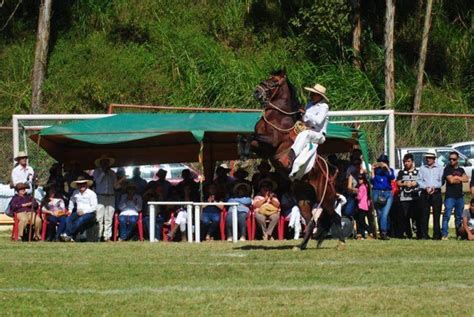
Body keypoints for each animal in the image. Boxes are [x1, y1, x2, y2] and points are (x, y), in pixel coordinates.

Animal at [250, 69, 346, 249]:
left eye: (274, 81)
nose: (257, 91)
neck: (278, 117)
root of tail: (331, 175)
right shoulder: (262, 145)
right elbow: (251, 140)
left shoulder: (272, 141)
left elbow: (252, 137)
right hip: (303, 199)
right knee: (312, 222)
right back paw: (302, 245)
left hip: (326, 197)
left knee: (334, 216)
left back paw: (341, 243)